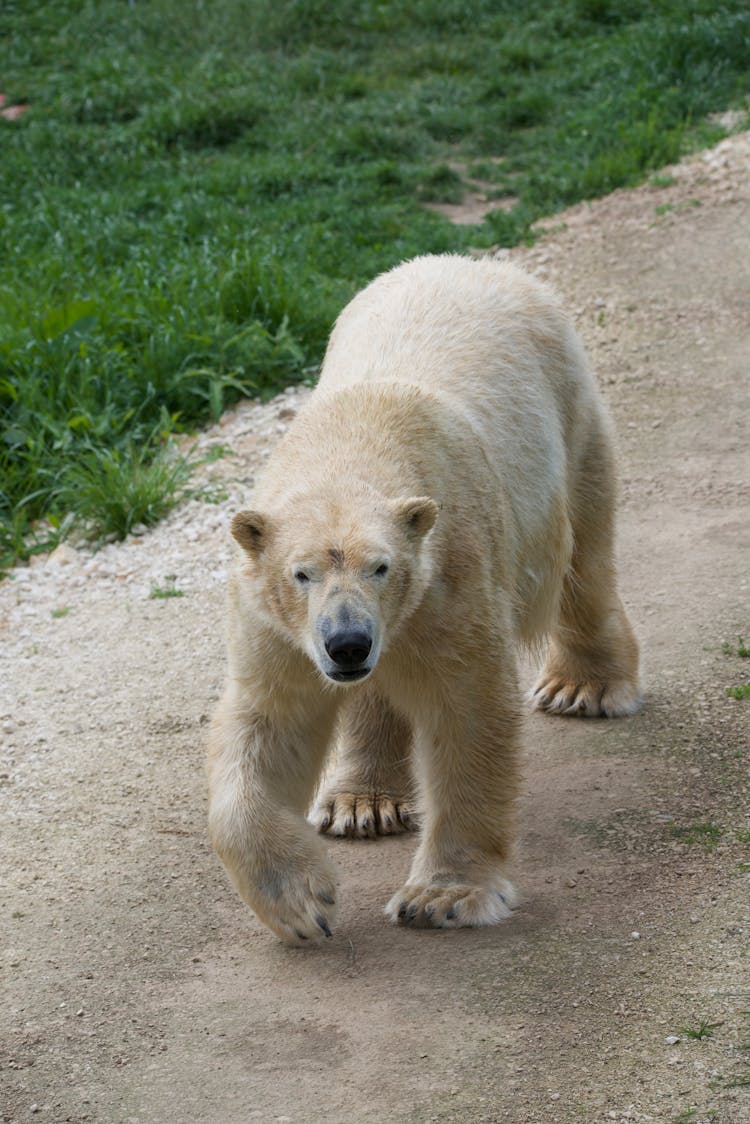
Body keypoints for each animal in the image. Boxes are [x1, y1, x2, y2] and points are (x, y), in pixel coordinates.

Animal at [208, 252, 643, 939]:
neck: (353, 437)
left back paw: (583, 687)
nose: (349, 643)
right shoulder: (276, 624)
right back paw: (361, 803)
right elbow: (271, 723)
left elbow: (467, 711)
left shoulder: (450, 580)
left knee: (586, 556)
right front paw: (301, 902)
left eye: (382, 567)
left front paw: (442, 896)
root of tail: (469, 261)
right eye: (302, 573)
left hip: (569, 419)